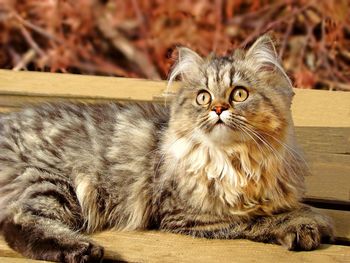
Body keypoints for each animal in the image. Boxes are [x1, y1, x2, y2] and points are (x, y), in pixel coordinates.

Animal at [0, 35, 334, 263]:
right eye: (203, 97)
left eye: (239, 94)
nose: (218, 109)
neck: (235, 160)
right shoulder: (188, 213)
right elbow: (255, 219)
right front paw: (305, 224)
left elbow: (278, 208)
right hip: (50, 180)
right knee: (17, 221)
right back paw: (81, 249)